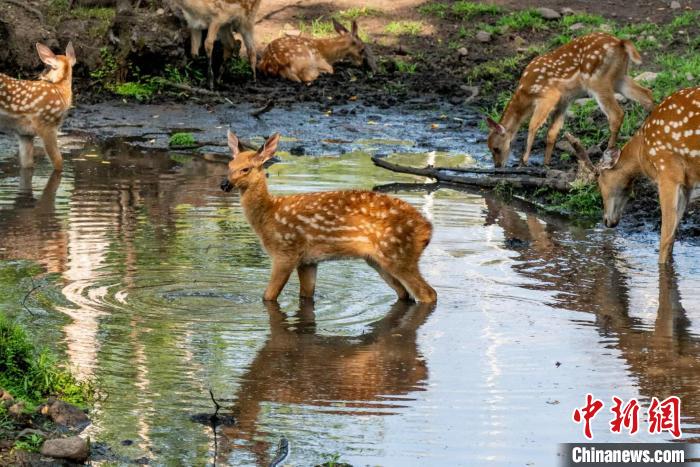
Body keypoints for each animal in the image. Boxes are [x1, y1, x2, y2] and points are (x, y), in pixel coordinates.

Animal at [0, 42, 76, 172]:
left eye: (47, 67)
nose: (39, 76)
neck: (60, 91)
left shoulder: (25, 133)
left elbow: (27, 165)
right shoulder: (47, 125)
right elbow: (58, 162)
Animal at [220, 131, 438, 304]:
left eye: (246, 168)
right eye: (229, 164)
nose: (224, 184)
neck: (268, 216)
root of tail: (427, 230)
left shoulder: (286, 251)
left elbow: (268, 296)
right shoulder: (308, 261)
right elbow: (306, 295)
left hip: (399, 255)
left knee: (428, 294)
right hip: (377, 260)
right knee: (405, 294)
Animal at [486, 32, 656, 168]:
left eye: (496, 148)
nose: (497, 165)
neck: (526, 93)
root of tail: (621, 42)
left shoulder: (548, 95)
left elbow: (533, 125)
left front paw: (524, 160)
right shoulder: (564, 100)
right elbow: (552, 132)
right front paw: (546, 163)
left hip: (597, 80)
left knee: (617, 114)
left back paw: (608, 155)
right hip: (619, 77)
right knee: (646, 94)